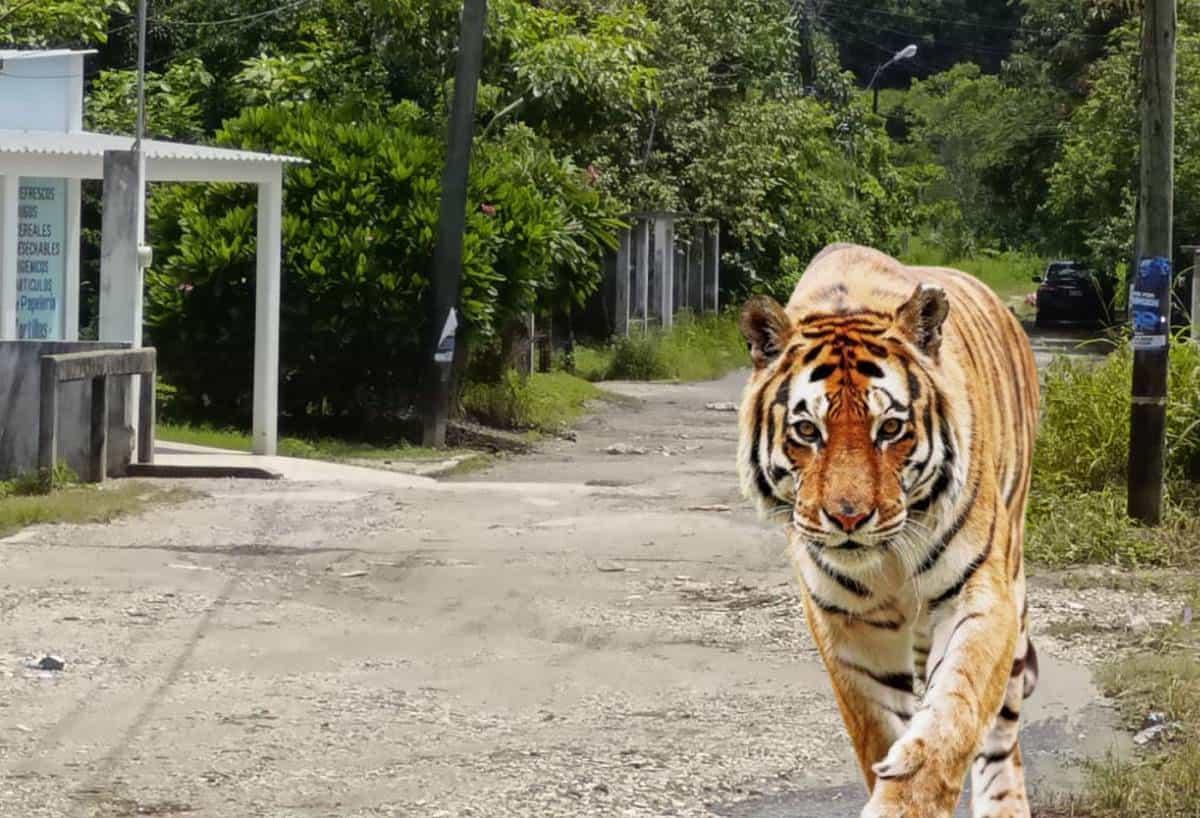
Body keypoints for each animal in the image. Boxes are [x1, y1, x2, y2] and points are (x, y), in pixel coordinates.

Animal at [734, 242, 1036, 815]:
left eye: (890, 428)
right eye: (807, 430)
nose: (849, 517)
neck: (889, 559)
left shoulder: (979, 593)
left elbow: (956, 709)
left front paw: (913, 793)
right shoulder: (848, 625)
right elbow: (879, 730)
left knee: (1001, 739)